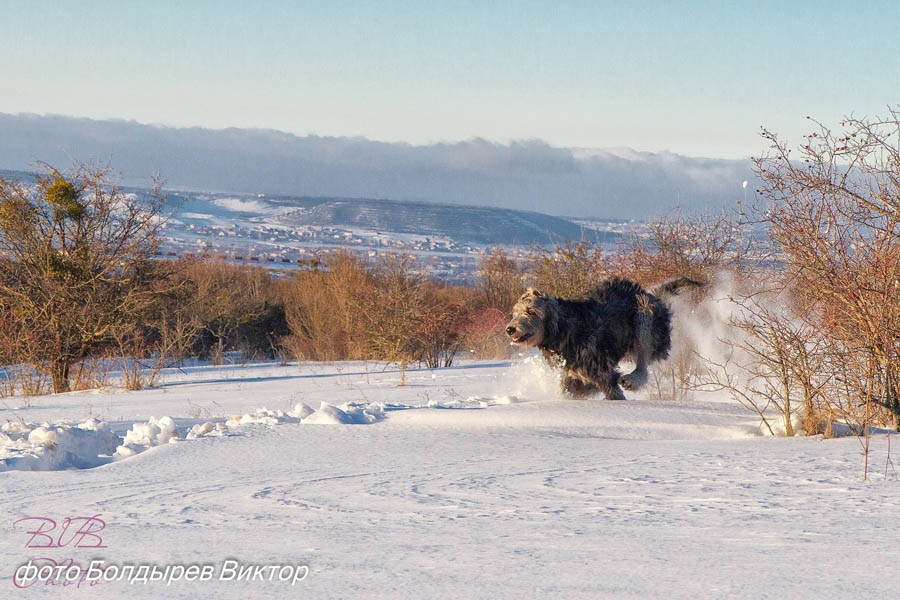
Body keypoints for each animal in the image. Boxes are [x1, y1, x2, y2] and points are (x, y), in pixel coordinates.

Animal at [506, 276, 704, 398]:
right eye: (515, 312)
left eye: (531, 311)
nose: (510, 329)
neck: (565, 329)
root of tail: (654, 296)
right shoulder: (576, 376)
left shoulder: (601, 370)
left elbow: (612, 391)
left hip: (646, 319)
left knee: (644, 361)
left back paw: (633, 380)